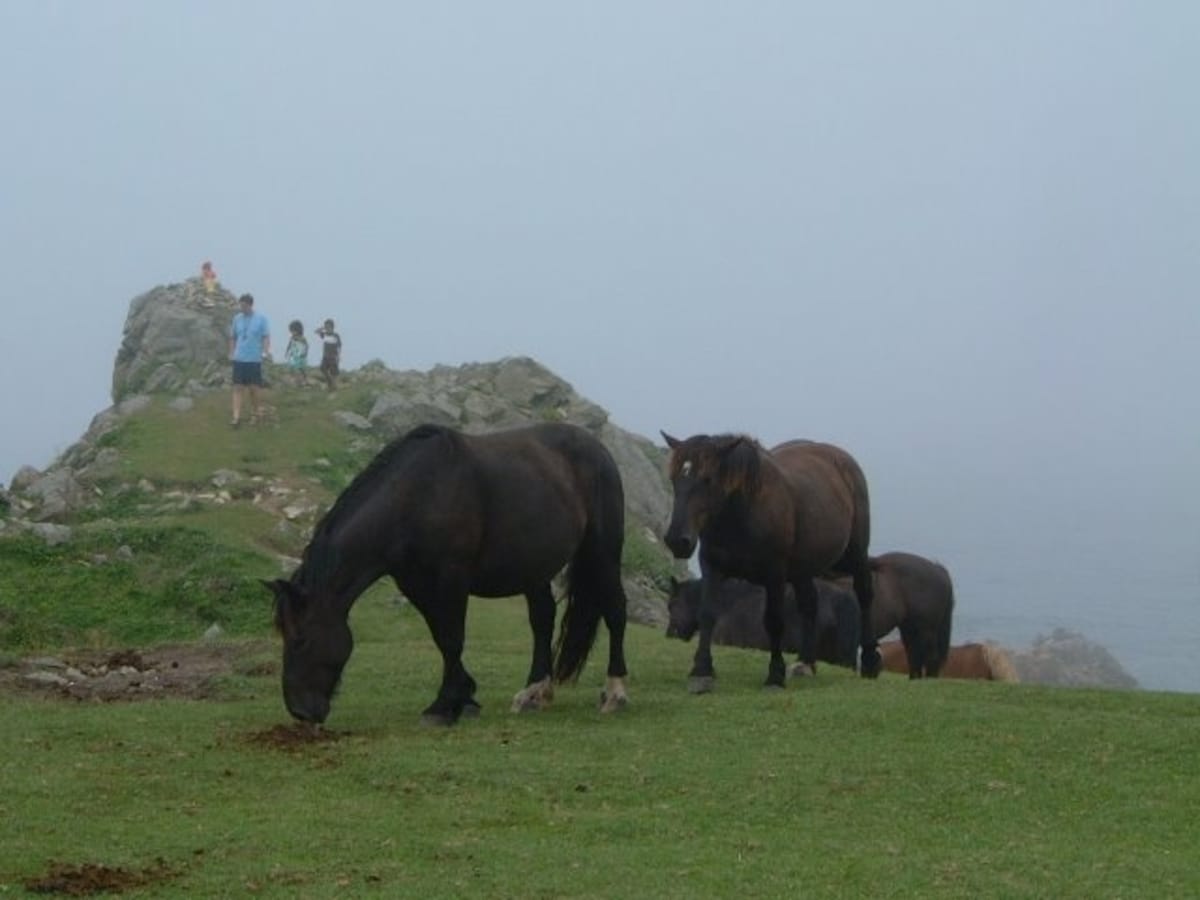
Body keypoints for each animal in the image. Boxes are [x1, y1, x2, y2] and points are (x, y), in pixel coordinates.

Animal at [265, 422, 631, 725]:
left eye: (301, 639)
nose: (300, 711)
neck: (416, 496)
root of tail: (597, 448)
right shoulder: (415, 584)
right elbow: (441, 637)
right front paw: (463, 697)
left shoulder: (452, 577)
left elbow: (452, 638)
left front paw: (445, 705)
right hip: (534, 568)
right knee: (542, 621)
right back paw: (534, 692)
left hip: (603, 552)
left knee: (615, 611)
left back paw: (615, 692)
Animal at [661, 432, 877, 692]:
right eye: (674, 479)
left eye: (708, 479)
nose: (677, 540)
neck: (744, 513)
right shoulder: (712, 565)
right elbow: (707, 613)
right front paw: (701, 671)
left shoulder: (775, 574)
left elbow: (774, 621)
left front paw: (775, 675)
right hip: (802, 570)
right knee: (809, 605)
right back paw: (806, 662)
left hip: (855, 555)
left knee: (864, 593)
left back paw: (870, 662)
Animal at [665, 551, 954, 677]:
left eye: (671, 604)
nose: (670, 633)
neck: (732, 600)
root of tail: (938, 570)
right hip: (910, 629)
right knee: (916, 657)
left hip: (924, 630)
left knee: (928, 658)